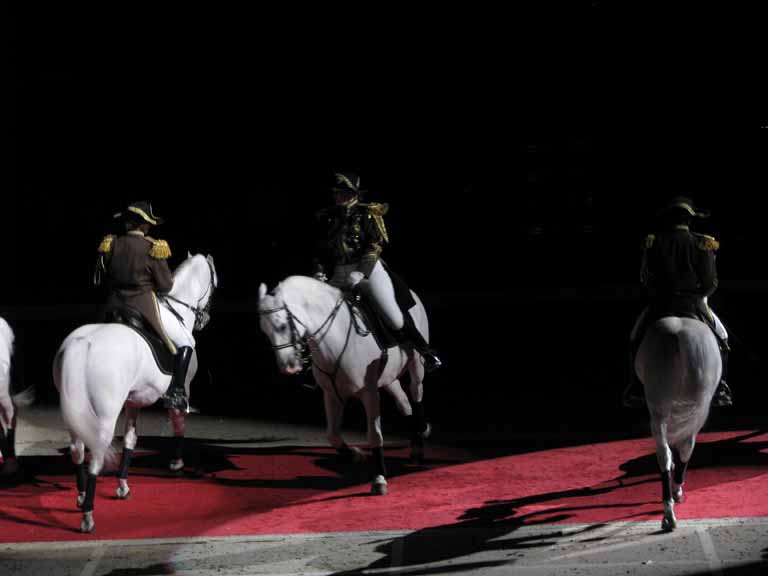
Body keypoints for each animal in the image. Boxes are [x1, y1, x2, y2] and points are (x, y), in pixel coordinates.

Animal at [53, 254, 216, 532]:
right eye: (214, 283)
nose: (204, 319)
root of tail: (81, 344)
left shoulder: (134, 402)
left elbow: (130, 441)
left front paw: (123, 486)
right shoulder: (181, 390)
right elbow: (179, 424)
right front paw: (177, 463)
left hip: (72, 413)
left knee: (77, 450)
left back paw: (82, 496)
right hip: (105, 414)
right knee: (95, 453)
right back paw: (88, 515)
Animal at [258, 274, 432, 496]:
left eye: (281, 326)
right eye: (265, 331)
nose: (288, 367)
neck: (336, 338)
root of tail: (412, 293)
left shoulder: (369, 392)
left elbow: (374, 435)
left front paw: (379, 478)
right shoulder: (332, 393)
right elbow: (332, 434)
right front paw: (356, 455)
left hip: (416, 363)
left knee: (416, 392)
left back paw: (421, 434)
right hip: (388, 378)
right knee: (404, 403)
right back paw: (416, 443)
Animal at [632, 316, 724, 532]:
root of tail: (678, 336)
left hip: (660, 411)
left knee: (666, 453)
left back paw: (669, 511)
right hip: (691, 410)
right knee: (684, 448)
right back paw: (673, 498)